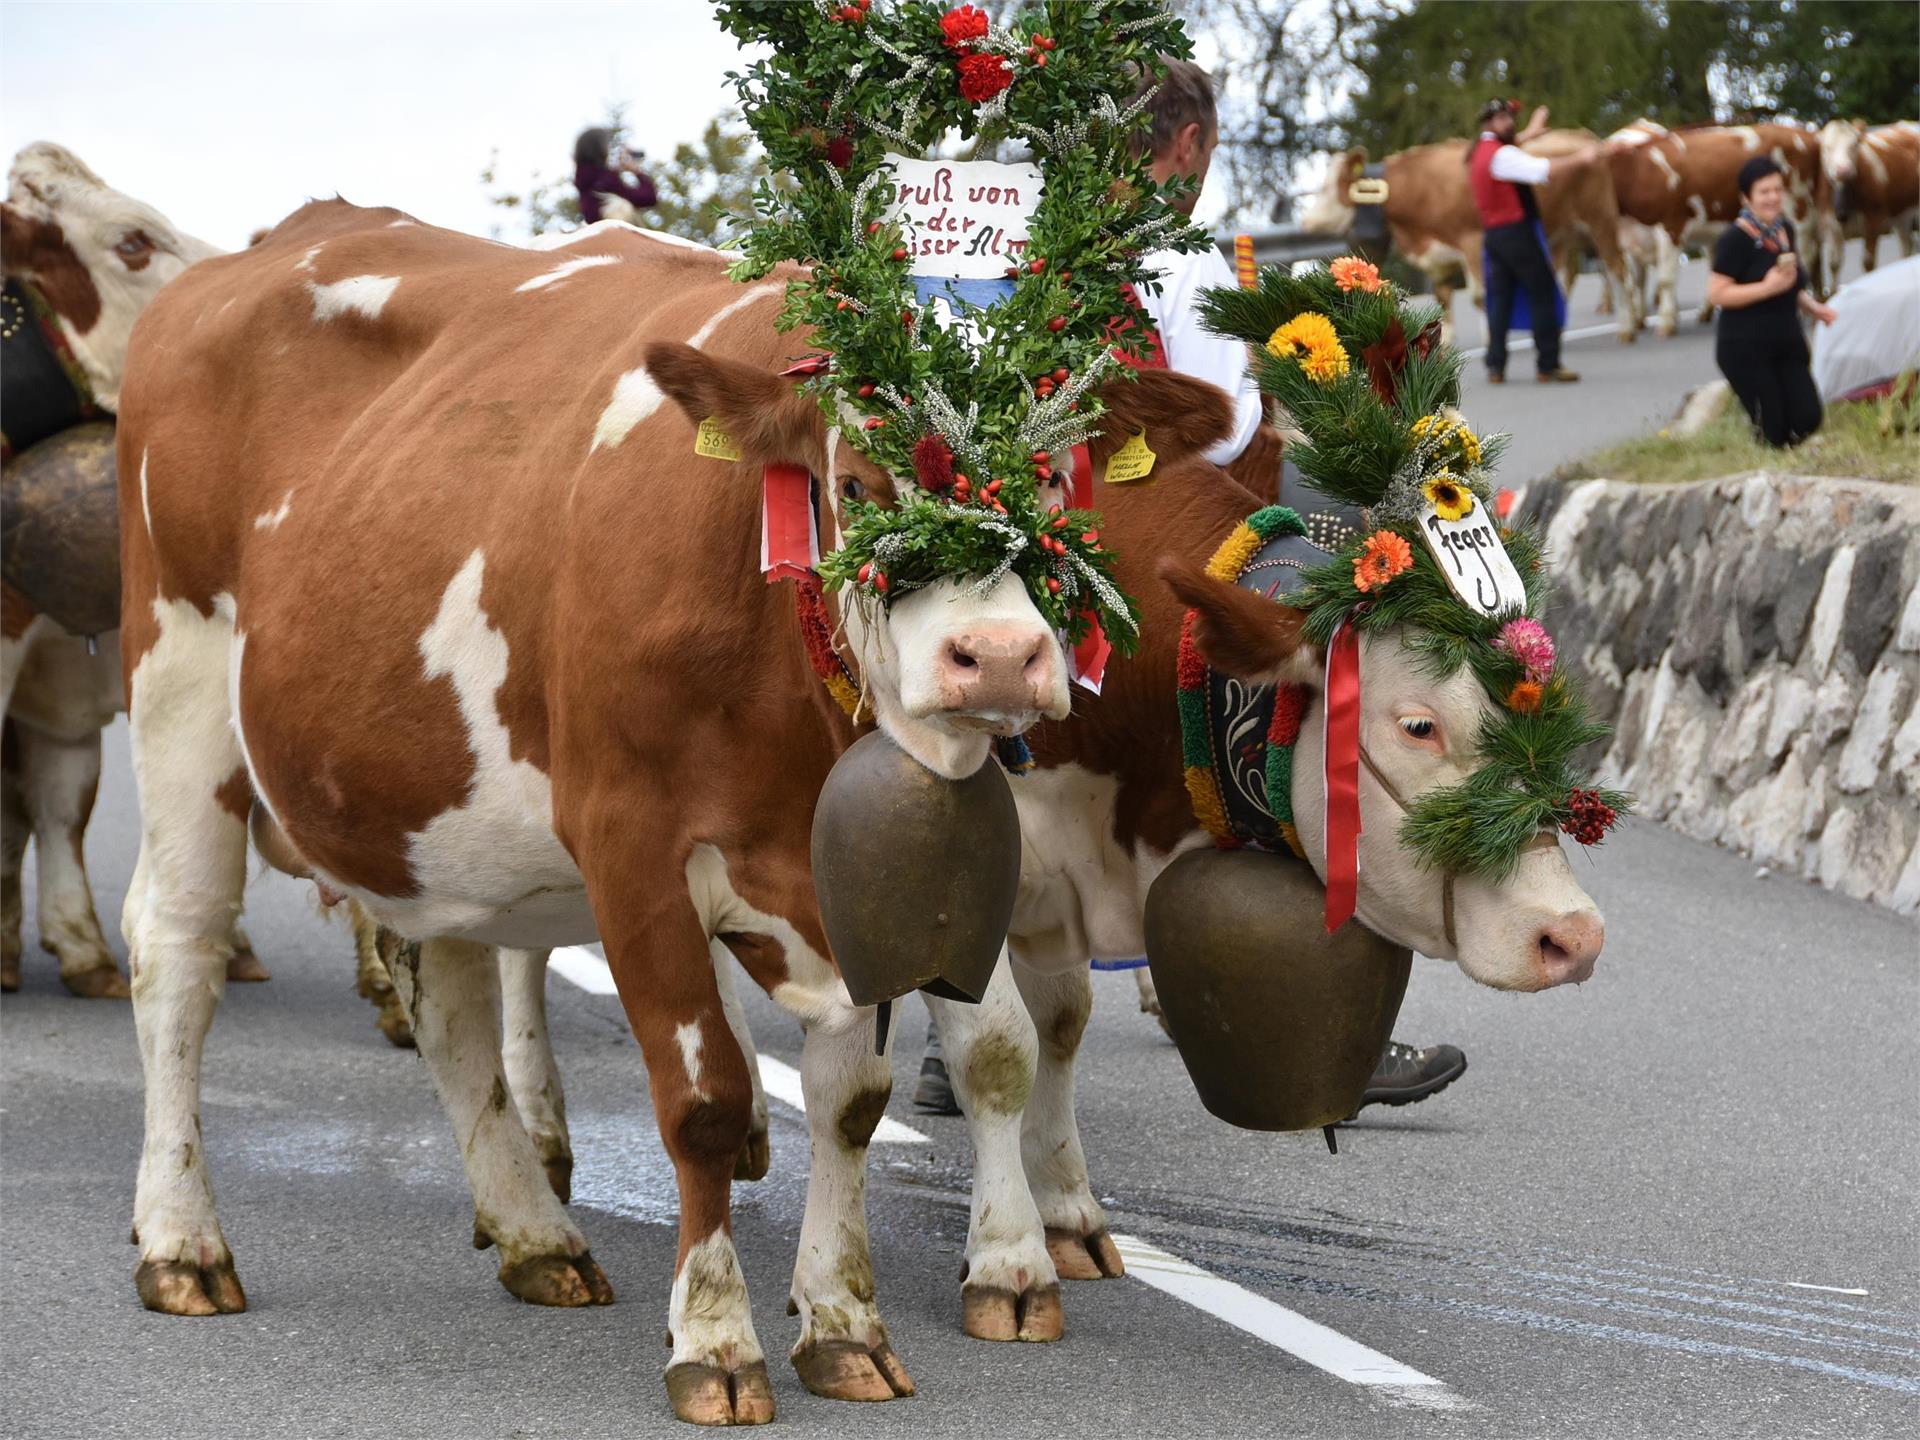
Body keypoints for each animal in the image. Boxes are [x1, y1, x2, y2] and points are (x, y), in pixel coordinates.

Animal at [116, 203, 1228, 1436]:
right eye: (863, 480)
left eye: (1058, 485)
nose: (998, 655)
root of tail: (267, 245)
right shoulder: (630, 847)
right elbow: (704, 1104)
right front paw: (716, 1339)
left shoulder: (846, 881)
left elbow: (852, 1102)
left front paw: (843, 1323)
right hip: (178, 696)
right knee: (177, 949)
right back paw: (182, 1243)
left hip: (417, 802)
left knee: (446, 998)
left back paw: (536, 1234)